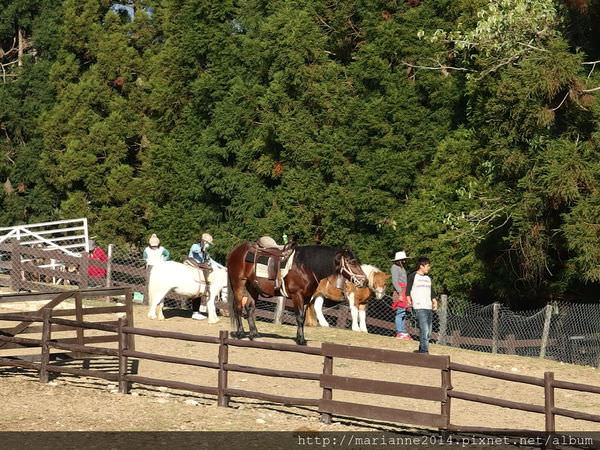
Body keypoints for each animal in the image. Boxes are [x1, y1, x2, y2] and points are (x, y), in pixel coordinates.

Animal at [226, 243, 364, 344]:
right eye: (352, 262)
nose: (364, 280)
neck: (305, 266)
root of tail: (236, 250)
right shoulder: (297, 296)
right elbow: (300, 317)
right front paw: (301, 340)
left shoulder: (307, 298)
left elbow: (302, 318)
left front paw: (300, 337)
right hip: (238, 284)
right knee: (238, 307)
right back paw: (241, 333)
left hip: (252, 287)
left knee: (249, 308)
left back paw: (254, 334)